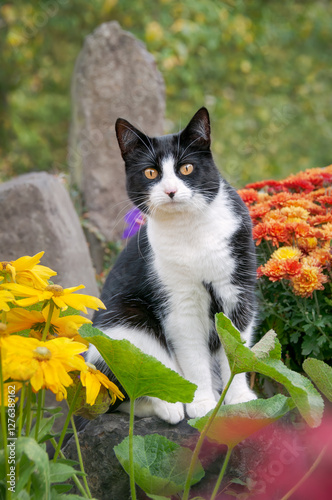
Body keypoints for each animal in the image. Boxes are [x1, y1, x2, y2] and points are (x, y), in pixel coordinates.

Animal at [85, 107, 256, 424]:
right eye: (151, 173)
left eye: (186, 168)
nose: (171, 191)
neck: (191, 230)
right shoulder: (179, 304)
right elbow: (193, 358)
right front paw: (202, 403)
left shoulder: (237, 292)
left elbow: (236, 350)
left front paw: (238, 398)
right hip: (125, 325)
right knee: (129, 388)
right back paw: (172, 405)